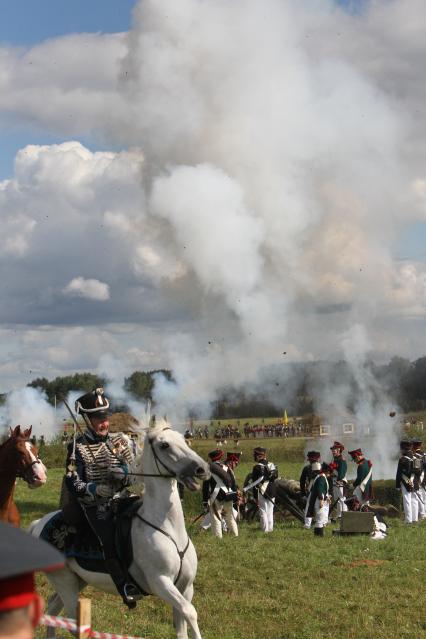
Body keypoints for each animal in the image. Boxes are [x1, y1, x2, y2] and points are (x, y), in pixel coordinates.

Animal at [29, 420, 210, 639]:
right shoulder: (160, 582)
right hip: (65, 582)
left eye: (184, 439)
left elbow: (182, 625)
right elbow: (190, 612)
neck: (167, 528)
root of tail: (39, 523)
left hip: (77, 580)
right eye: (164, 445)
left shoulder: (185, 587)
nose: (202, 468)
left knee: (53, 608)